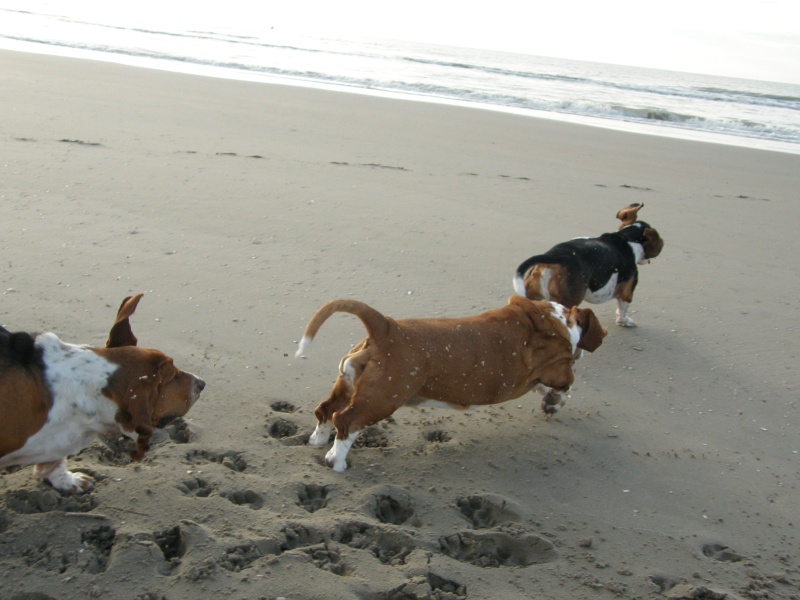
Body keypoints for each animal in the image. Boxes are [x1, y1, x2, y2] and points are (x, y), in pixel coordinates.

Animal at [296, 298, 608, 472]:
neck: (559, 319)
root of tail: (386, 327)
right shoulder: (559, 371)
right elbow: (565, 386)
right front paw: (554, 403)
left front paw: (548, 402)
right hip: (381, 400)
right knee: (346, 421)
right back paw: (336, 461)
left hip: (348, 385)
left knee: (325, 411)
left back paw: (317, 441)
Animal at [512, 205, 664, 328]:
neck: (626, 238)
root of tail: (556, 256)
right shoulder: (627, 292)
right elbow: (623, 309)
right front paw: (625, 321)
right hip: (568, 301)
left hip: (531, 295)